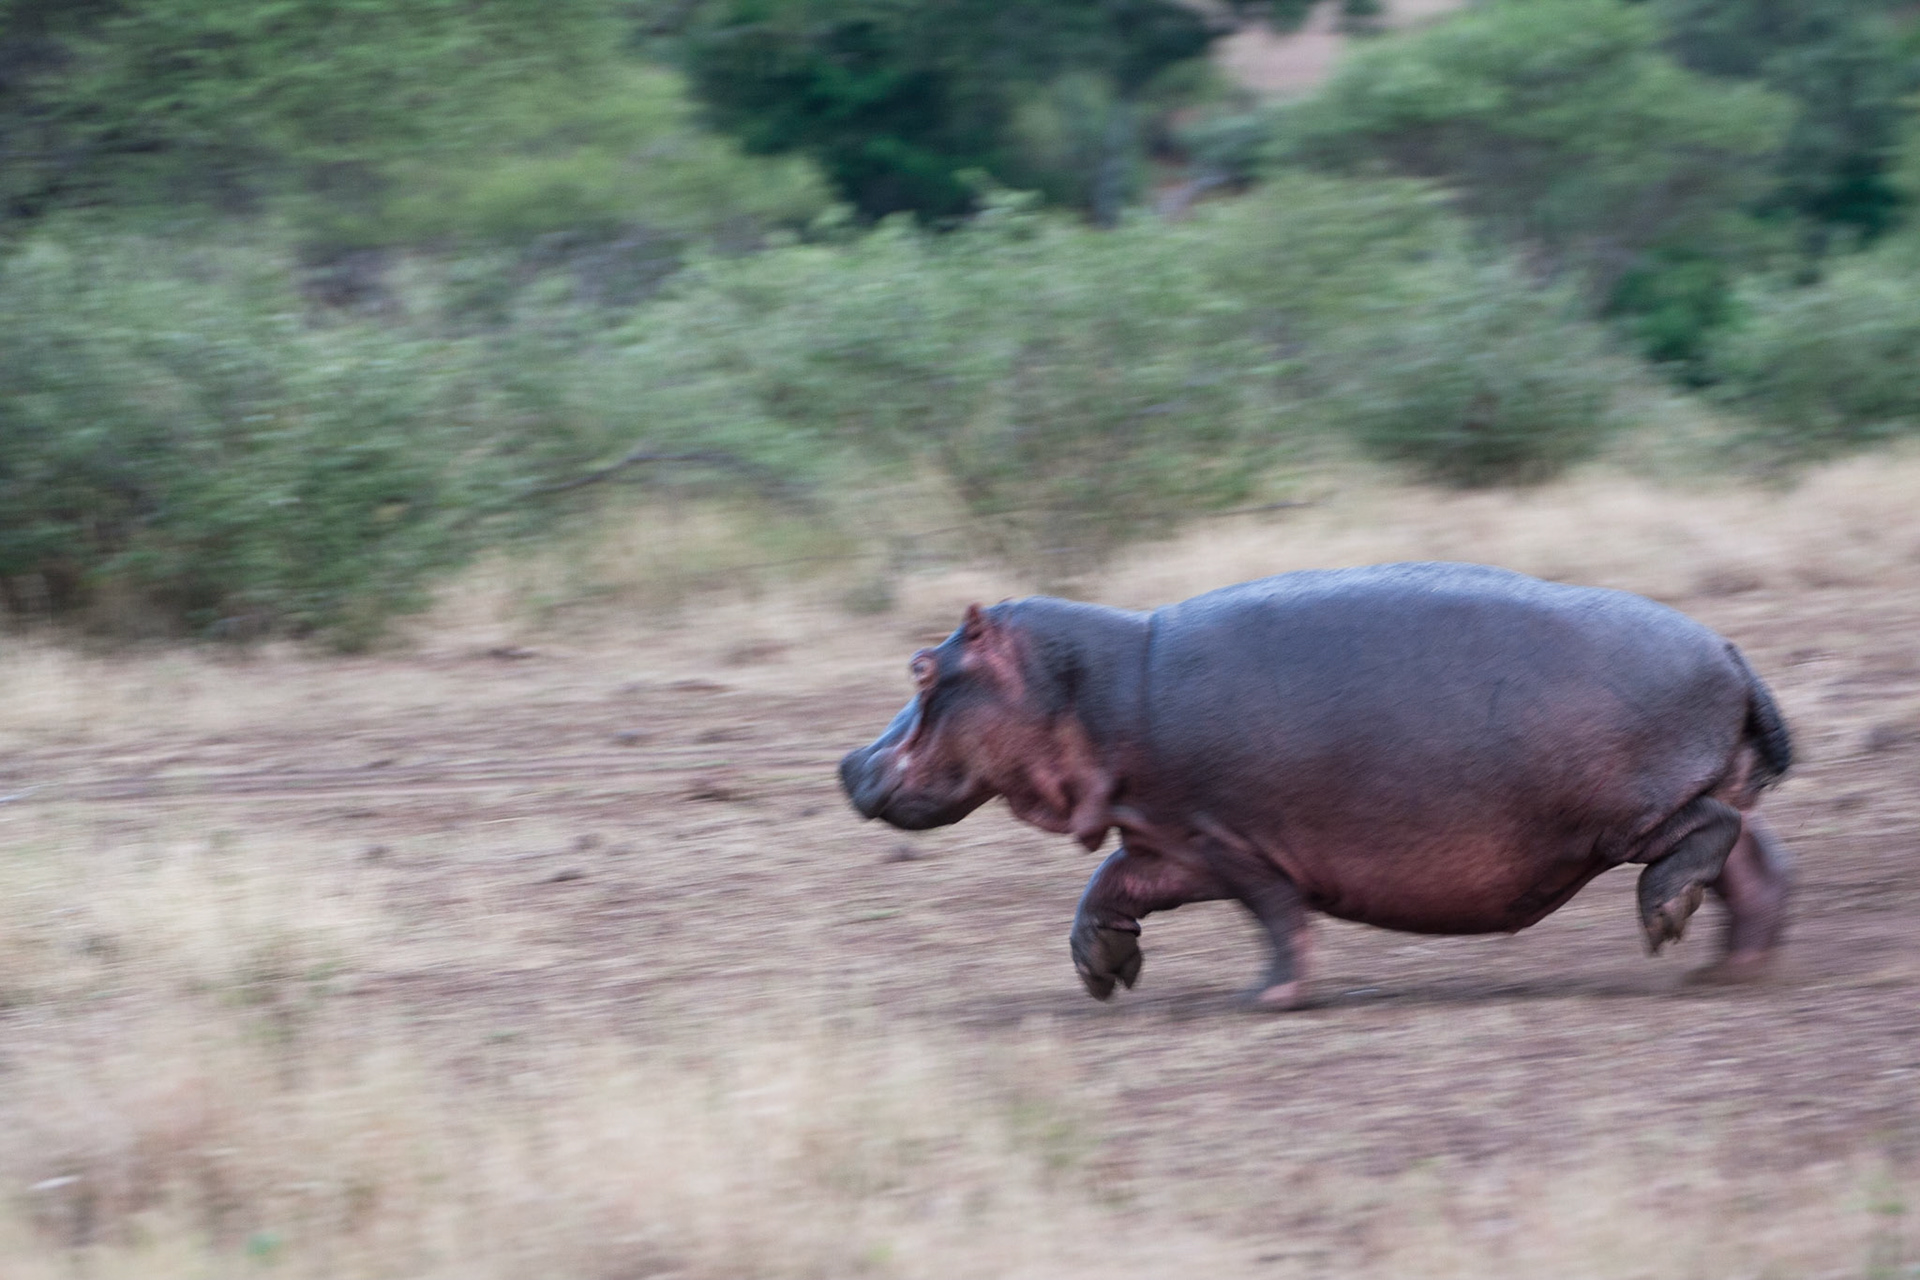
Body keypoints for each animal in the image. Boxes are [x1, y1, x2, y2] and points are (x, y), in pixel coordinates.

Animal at [839, 563, 1794, 1007]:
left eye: (922, 666)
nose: (847, 763)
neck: (1087, 685)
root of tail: (1729, 648)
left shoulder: (1231, 839)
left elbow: (1275, 916)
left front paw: (1268, 997)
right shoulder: (1170, 836)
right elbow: (1107, 886)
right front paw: (1102, 971)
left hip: (1626, 816)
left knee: (1709, 837)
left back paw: (1663, 921)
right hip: (1679, 797)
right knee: (1754, 858)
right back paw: (1730, 969)